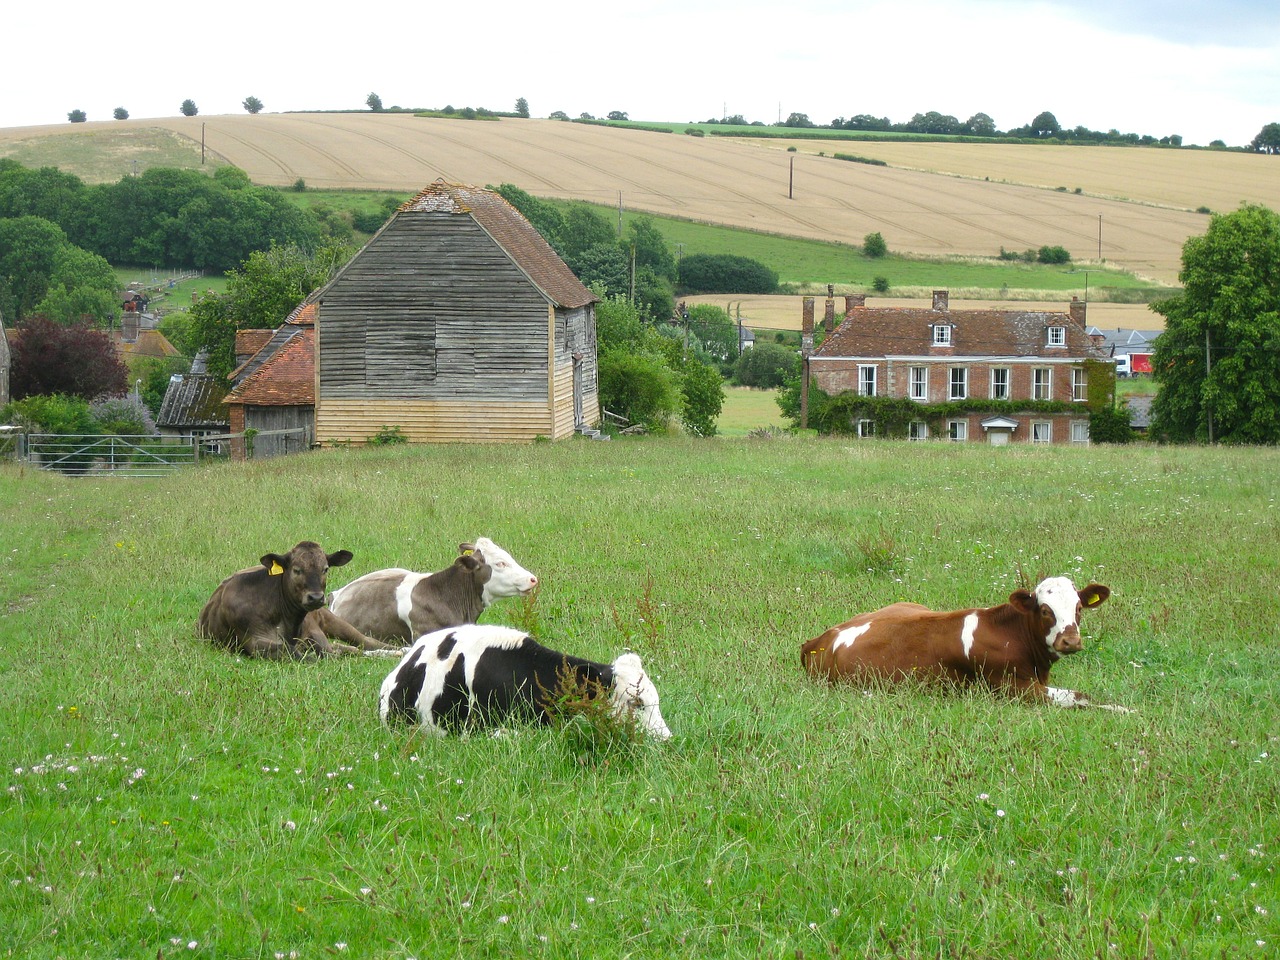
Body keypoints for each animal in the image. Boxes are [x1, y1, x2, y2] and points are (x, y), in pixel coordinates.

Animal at [198, 542, 404, 660]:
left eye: (325, 568)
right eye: (296, 569)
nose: (316, 597)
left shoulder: (315, 634)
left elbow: (331, 652)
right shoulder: (255, 641)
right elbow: (298, 653)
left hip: (331, 619)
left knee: (365, 641)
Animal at [798, 576, 1131, 711]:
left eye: (1078, 608)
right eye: (1046, 610)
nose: (1070, 641)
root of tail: (820, 638)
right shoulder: (1014, 688)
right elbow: (1080, 696)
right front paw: (1126, 710)